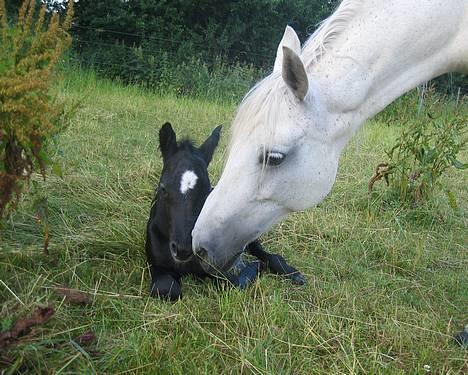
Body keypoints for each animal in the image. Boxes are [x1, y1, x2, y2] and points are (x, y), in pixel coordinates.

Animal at [146, 123, 308, 302]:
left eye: (208, 190)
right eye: (163, 188)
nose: (183, 250)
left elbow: (233, 283)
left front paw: (254, 265)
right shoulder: (158, 267)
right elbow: (167, 289)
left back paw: (291, 273)